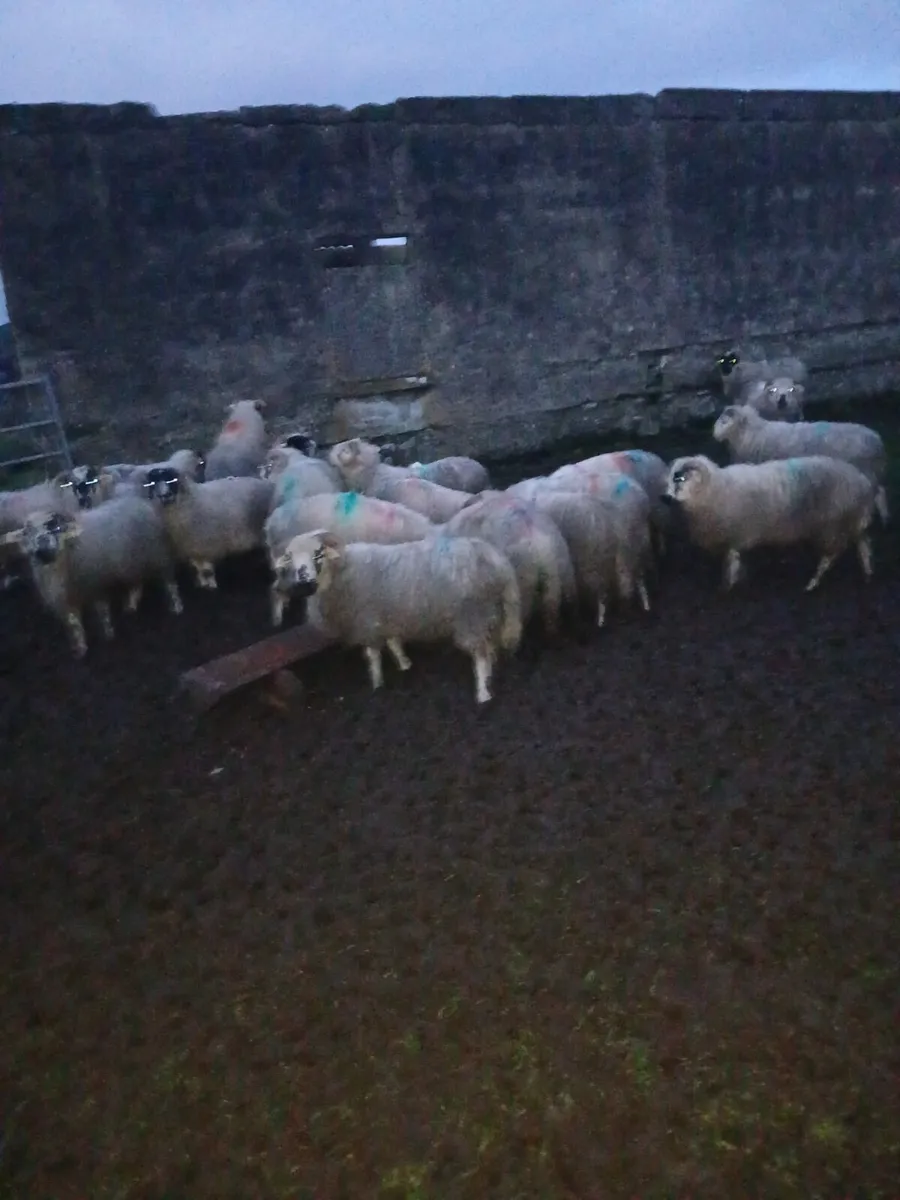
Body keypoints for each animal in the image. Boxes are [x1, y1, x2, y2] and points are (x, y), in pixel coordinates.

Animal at [1, 498, 183, 657]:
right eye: (26, 533)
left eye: (55, 527)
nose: (42, 550)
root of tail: (138, 500)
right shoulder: (65, 599)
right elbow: (74, 623)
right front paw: (81, 649)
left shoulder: (95, 584)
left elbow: (102, 611)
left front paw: (109, 635)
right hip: (130, 564)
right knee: (136, 583)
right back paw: (131, 607)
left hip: (159, 556)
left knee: (170, 583)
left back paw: (177, 607)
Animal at [143, 466, 273, 589]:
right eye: (153, 483)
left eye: (171, 480)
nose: (164, 495)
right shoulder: (192, 547)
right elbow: (198, 568)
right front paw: (202, 584)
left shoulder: (207, 544)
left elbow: (207, 571)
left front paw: (211, 586)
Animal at [270, 528, 522, 704]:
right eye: (291, 558)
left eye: (318, 554)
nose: (305, 581)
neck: (340, 572)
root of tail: (497, 561)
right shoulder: (387, 617)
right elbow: (393, 643)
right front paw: (405, 665)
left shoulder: (368, 621)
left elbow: (373, 655)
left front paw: (377, 685)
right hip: (488, 611)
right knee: (489, 646)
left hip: (471, 615)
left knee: (480, 655)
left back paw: (483, 694)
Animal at [525, 490, 654, 624]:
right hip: (622, 552)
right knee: (630, 578)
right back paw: (640, 606)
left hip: (592, 557)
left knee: (604, 586)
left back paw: (601, 619)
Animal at [662, 454, 876, 592]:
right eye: (669, 478)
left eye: (680, 478)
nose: (665, 498)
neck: (714, 488)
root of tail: (862, 481)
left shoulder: (734, 536)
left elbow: (730, 561)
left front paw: (726, 586)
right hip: (851, 521)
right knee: (863, 545)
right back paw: (867, 574)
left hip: (831, 527)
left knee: (830, 556)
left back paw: (812, 583)